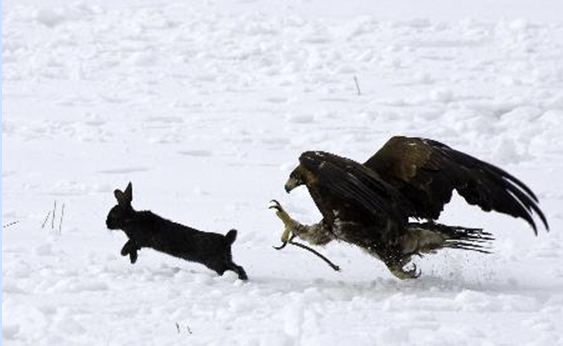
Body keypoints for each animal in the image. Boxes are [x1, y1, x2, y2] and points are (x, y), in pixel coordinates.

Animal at [106, 182, 247, 280]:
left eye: (112, 215)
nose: (106, 224)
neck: (130, 219)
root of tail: (226, 239)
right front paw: (132, 259)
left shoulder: (139, 240)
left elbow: (130, 245)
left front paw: (125, 254)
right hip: (224, 259)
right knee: (237, 266)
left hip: (215, 262)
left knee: (234, 268)